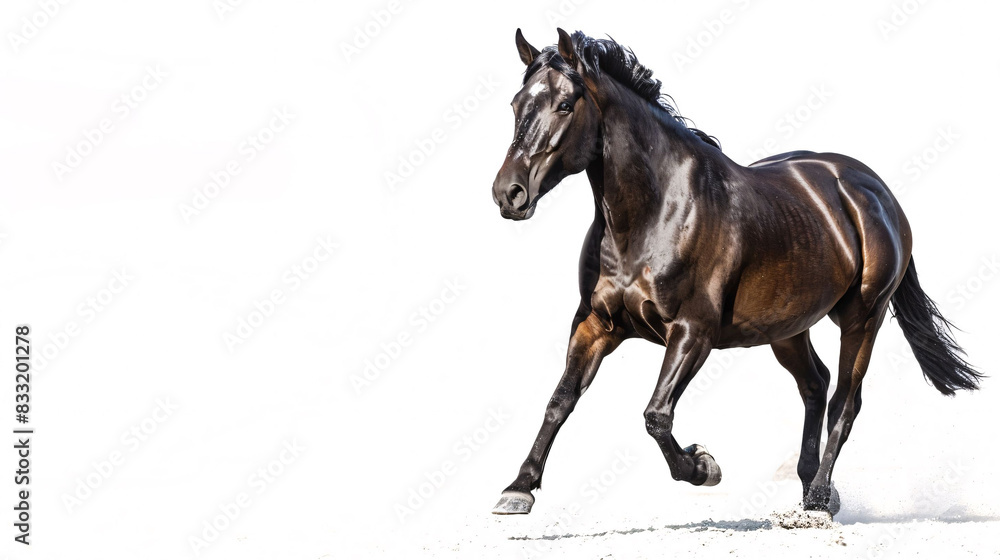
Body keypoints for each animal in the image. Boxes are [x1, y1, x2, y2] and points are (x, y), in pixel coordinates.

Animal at [489, 28, 982, 517]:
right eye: (515, 104)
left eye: (564, 105)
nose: (508, 193)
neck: (655, 213)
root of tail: (877, 191)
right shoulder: (595, 324)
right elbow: (560, 401)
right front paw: (519, 488)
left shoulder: (693, 332)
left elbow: (656, 416)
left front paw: (702, 466)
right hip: (787, 328)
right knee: (816, 385)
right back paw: (810, 485)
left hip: (863, 318)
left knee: (845, 402)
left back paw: (820, 497)